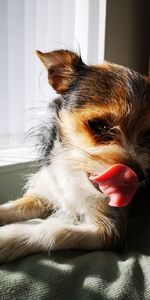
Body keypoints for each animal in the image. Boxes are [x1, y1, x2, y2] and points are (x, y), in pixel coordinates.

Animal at [0, 49, 150, 262]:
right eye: (100, 126)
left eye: (148, 135)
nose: (139, 178)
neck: (74, 172)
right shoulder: (44, 196)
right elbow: (11, 207)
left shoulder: (109, 231)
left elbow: (55, 231)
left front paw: (7, 238)